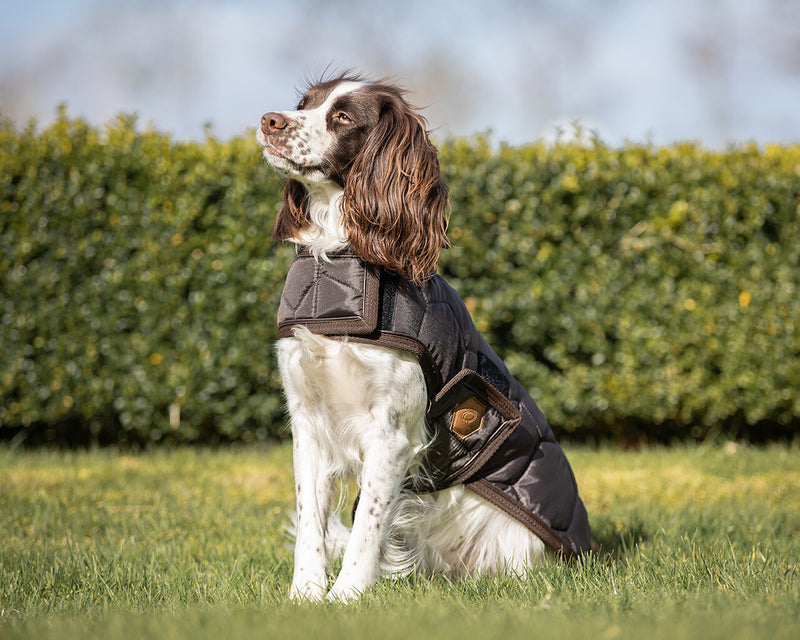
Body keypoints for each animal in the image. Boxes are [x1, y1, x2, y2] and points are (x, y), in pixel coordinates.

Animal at [260, 74, 592, 600]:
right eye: (303, 104)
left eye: (343, 117)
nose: (269, 120)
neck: (341, 261)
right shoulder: (307, 419)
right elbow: (310, 518)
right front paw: (305, 595)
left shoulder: (391, 432)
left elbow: (368, 523)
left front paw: (347, 595)